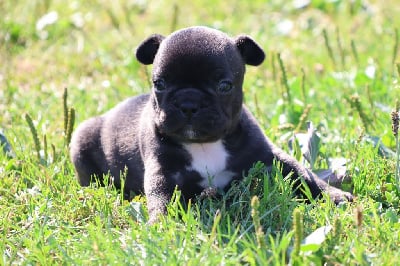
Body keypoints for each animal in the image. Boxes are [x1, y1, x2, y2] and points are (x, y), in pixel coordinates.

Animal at [69, 26, 354, 222]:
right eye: (159, 84)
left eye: (224, 86)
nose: (188, 103)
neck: (204, 144)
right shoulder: (163, 173)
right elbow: (161, 198)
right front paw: (161, 224)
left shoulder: (269, 156)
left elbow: (303, 175)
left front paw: (335, 196)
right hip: (81, 139)